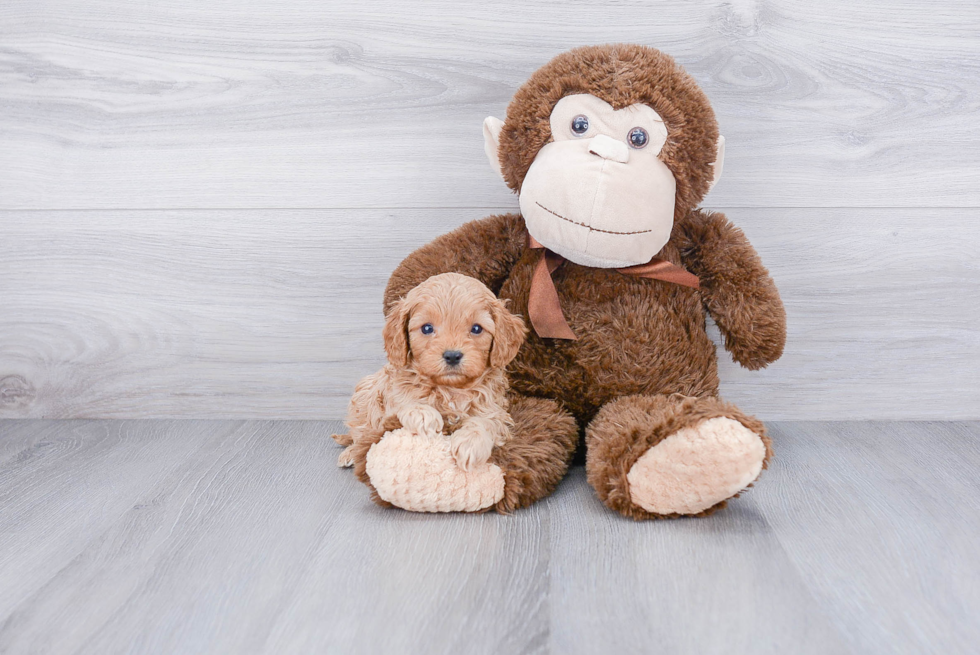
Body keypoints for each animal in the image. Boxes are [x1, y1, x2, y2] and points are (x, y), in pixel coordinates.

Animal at [332, 274, 528, 474]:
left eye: (476, 329)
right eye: (427, 328)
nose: (452, 356)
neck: (450, 389)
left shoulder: (495, 410)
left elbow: (487, 422)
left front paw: (470, 443)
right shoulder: (391, 395)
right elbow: (403, 401)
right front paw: (423, 414)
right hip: (365, 393)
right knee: (360, 433)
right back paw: (350, 453)